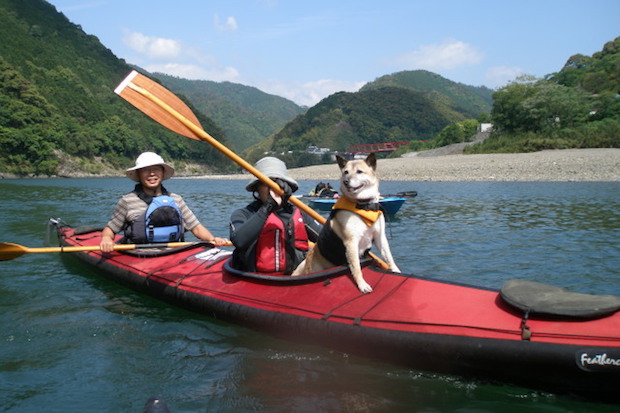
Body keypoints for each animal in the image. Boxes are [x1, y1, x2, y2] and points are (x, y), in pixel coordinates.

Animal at [292, 152, 400, 292]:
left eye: (359, 171)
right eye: (345, 172)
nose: (346, 181)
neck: (364, 206)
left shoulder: (379, 237)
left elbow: (389, 257)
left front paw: (396, 270)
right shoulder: (351, 242)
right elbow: (356, 267)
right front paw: (362, 284)